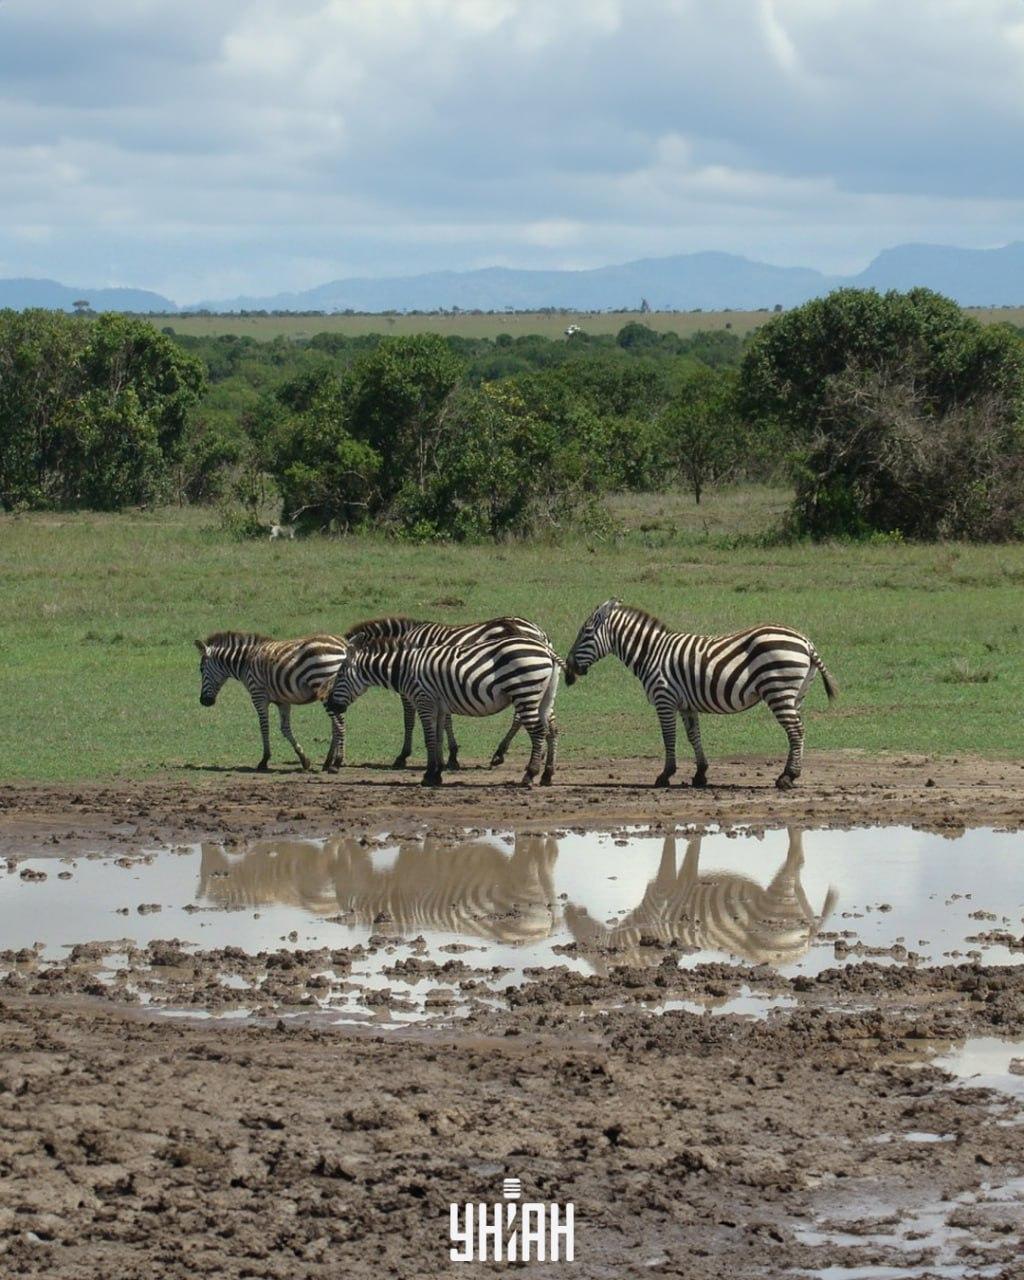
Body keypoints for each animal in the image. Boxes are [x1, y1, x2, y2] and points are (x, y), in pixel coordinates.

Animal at [194, 629, 350, 768]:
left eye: (201, 669)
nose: (204, 701)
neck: (245, 662)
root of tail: (343, 644)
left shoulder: (258, 696)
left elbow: (264, 726)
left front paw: (264, 760)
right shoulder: (283, 701)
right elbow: (285, 729)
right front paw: (304, 759)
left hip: (323, 684)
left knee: (339, 723)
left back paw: (337, 761)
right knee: (336, 724)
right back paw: (328, 762)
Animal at [320, 627, 560, 783]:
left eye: (339, 675)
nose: (330, 705)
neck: (404, 668)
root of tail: (546, 649)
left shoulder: (423, 700)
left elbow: (429, 739)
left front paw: (428, 775)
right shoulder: (439, 706)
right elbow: (438, 738)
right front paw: (437, 773)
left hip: (524, 692)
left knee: (538, 732)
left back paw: (530, 775)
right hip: (544, 697)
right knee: (551, 730)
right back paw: (547, 775)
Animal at [343, 611, 552, 762]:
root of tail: (538, 631)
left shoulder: (413, 685)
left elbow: (409, 719)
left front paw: (403, 755)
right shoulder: (441, 683)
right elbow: (446, 719)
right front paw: (450, 754)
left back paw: (503, 752)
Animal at [563, 599, 834, 788]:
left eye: (586, 632)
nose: (569, 669)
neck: (651, 653)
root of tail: (806, 642)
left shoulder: (664, 698)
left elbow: (669, 737)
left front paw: (665, 775)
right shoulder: (686, 704)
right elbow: (693, 736)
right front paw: (700, 774)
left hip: (778, 690)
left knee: (796, 731)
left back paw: (788, 777)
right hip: (795, 695)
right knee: (796, 731)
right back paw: (789, 774)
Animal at [563, 829, 834, 967]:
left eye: (578, 934)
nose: (568, 910)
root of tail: (808, 939)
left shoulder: (662, 888)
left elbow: (673, 854)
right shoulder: (680, 880)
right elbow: (692, 854)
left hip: (779, 901)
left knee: (795, 861)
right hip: (796, 900)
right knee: (799, 871)